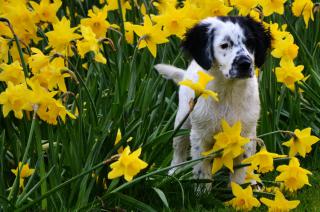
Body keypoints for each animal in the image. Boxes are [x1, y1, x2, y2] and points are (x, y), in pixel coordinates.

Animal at [154, 15, 272, 186]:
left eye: (250, 43)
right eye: (224, 45)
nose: (245, 64)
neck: (228, 91)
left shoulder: (245, 134)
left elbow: (241, 171)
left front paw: (241, 190)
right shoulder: (200, 135)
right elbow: (202, 170)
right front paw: (202, 191)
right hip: (183, 119)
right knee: (179, 148)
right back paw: (173, 173)